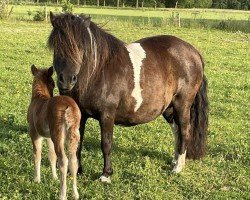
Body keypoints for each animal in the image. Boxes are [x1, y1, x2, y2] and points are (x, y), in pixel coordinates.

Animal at [27, 65, 81, 199]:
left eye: (52, 83)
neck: (38, 97)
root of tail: (70, 107)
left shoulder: (35, 134)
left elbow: (37, 154)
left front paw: (36, 179)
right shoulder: (48, 136)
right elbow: (52, 155)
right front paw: (54, 177)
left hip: (58, 134)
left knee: (63, 160)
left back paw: (62, 195)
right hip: (72, 134)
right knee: (73, 161)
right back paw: (75, 194)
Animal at [47, 12, 208, 184]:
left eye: (81, 46)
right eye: (56, 45)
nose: (66, 80)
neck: (97, 71)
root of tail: (194, 53)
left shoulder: (107, 115)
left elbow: (106, 143)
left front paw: (106, 174)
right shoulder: (80, 115)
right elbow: (77, 142)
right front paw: (76, 171)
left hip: (182, 104)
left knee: (184, 130)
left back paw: (178, 167)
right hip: (169, 108)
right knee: (177, 130)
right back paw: (176, 160)